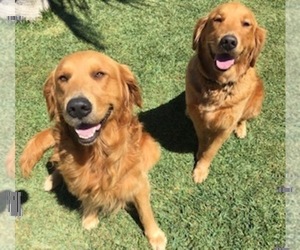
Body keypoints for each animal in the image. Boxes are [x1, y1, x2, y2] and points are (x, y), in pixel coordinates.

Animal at [19, 50, 168, 250]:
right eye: (63, 78)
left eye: (99, 74)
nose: (77, 107)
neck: (98, 152)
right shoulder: (80, 175)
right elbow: (88, 195)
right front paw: (89, 219)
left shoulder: (138, 181)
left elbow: (145, 211)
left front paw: (155, 235)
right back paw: (51, 179)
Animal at [186, 2, 266, 184]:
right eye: (218, 19)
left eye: (246, 24)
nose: (229, 41)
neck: (217, 85)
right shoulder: (197, 118)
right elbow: (203, 139)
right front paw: (199, 154)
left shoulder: (225, 128)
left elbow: (211, 151)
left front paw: (201, 169)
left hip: (255, 105)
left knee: (243, 118)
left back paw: (241, 129)